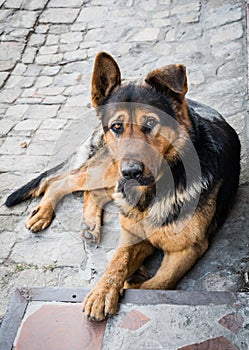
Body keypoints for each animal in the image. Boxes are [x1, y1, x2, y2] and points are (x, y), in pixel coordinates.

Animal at [5, 50, 240, 322]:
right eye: (117, 127)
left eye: (151, 124)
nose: (131, 173)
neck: (155, 191)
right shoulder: (132, 232)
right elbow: (118, 259)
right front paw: (103, 289)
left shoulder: (188, 248)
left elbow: (159, 283)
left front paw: (130, 281)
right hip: (109, 170)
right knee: (59, 182)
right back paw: (44, 213)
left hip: (113, 180)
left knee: (89, 192)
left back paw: (89, 224)